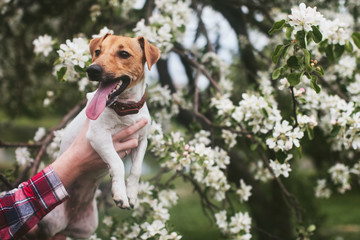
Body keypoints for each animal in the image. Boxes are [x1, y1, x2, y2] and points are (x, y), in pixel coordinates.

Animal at [37, 33, 160, 238]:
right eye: (97, 51)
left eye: (124, 54)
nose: (92, 70)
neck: (125, 109)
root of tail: (68, 220)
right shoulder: (99, 136)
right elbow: (118, 163)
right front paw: (120, 194)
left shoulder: (141, 141)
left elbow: (135, 170)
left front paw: (131, 194)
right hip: (49, 222)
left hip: (86, 229)